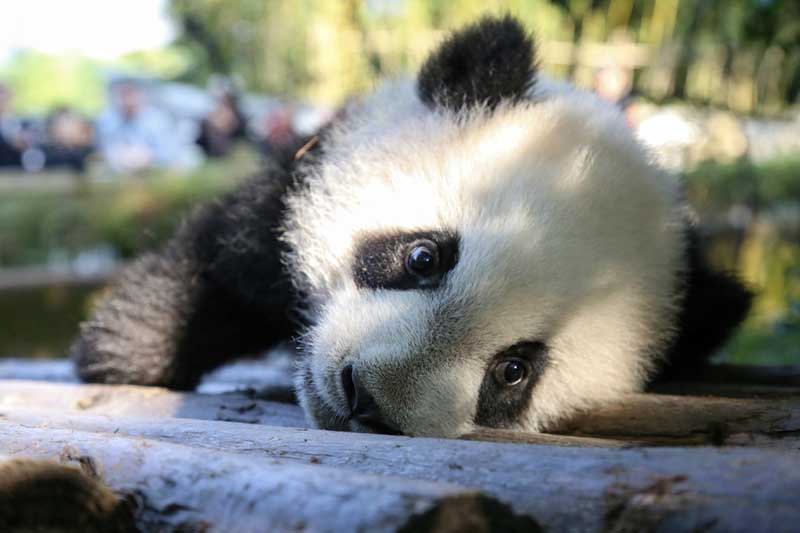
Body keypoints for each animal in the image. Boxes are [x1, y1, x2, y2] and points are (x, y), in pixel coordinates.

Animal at [72, 16, 752, 436]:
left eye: (514, 370)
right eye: (424, 256)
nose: (364, 397)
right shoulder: (320, 158)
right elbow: (231, 256)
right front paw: (123, 349)